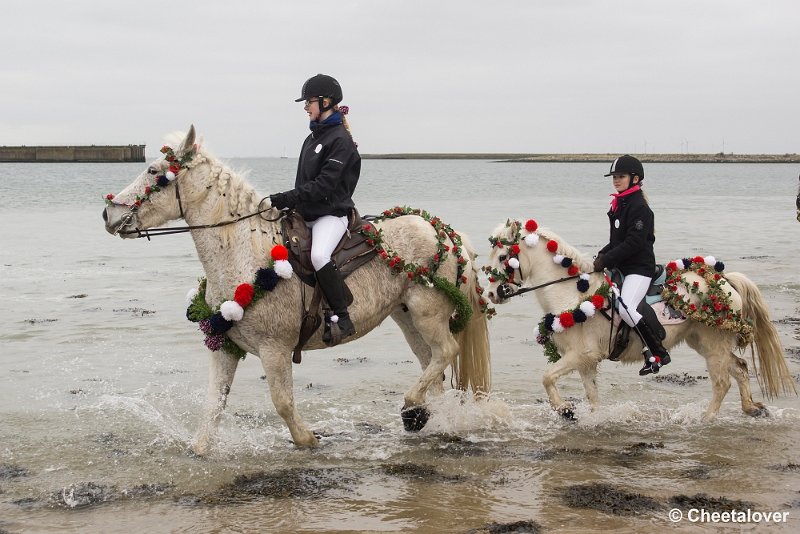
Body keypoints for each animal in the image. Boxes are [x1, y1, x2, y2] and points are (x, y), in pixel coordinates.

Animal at [103, 127, 490, 454]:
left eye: (154, 171)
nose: (108, 214)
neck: (245, 253)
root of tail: (444, 231)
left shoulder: (274, 349)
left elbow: (282, 403)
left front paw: (308, 439)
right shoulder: (224, 345)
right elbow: (213, 406)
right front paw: (200, 449)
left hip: (427, 312)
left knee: (446, 351)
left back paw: (412, 407)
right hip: (406, 317)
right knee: (432, 364)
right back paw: (427, 417)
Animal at [482, 218, 792, 422]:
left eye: (503, 256)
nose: (492, 294)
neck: (572, 293)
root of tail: (726, 282)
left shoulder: (581, 354)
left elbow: (546, 377)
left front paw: (565, 410)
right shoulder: (585, 362)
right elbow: (592, 396)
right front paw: (588, 417)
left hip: (713, 344)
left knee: (722, 382)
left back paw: (705, 419)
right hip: (703, 342)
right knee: (739, 368)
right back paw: (752, 409)